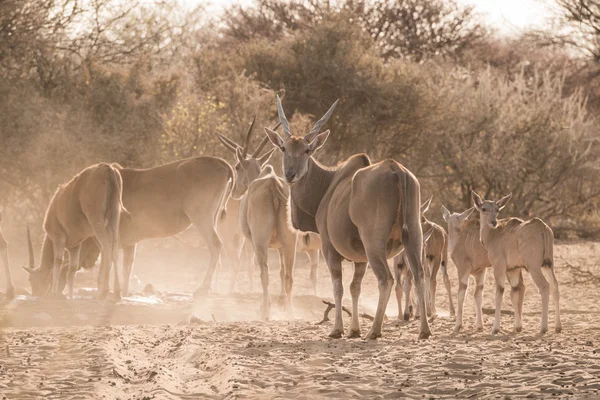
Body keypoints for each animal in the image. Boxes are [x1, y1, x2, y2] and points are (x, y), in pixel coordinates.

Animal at [474, 191, 564, 334]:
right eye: (484, 209)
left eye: (497, 209)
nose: (493, 222)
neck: (494, 235)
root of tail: (541, 226)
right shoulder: (514, 269)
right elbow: (515, 293)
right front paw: (517, 326)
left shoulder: (499, 267)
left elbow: (500, 293)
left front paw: (495, 328)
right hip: (548, 264)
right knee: (555, 285)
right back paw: (558, 326)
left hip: (534, 267)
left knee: (545, 286)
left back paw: (543, 327)